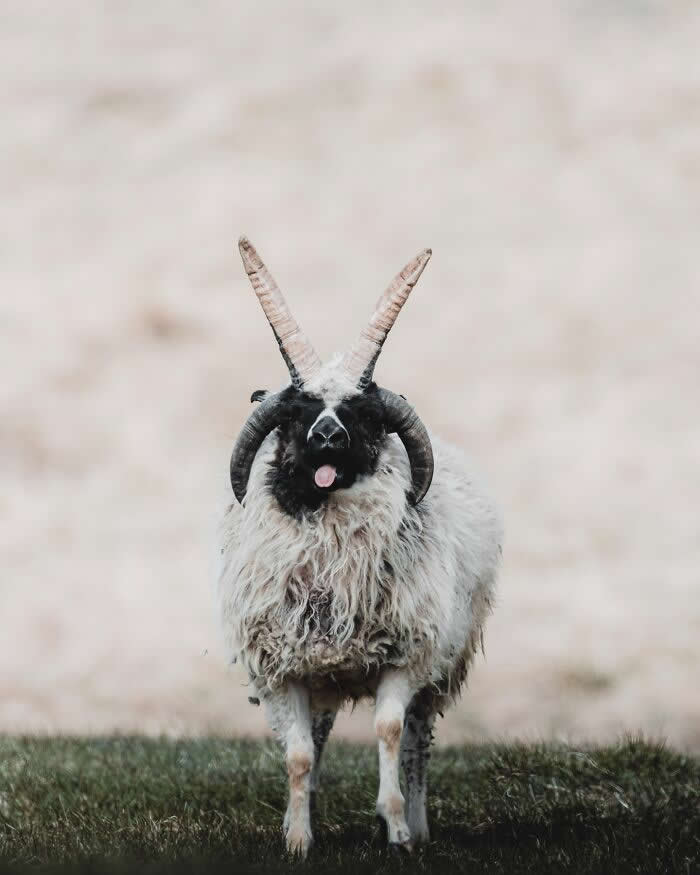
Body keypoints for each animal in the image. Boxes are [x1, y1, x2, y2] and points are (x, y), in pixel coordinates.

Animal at [216, 237, 503, 856]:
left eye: (362, 413)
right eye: (296, 413)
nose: (327, 436)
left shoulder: (405, 656)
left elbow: (390, 732)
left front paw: (394, 829)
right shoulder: (284, 668)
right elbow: (299, 756)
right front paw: (299, 839)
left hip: (439, 665)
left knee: (418, 741)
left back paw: (418, 825)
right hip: (319, 670)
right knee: (318, 739)